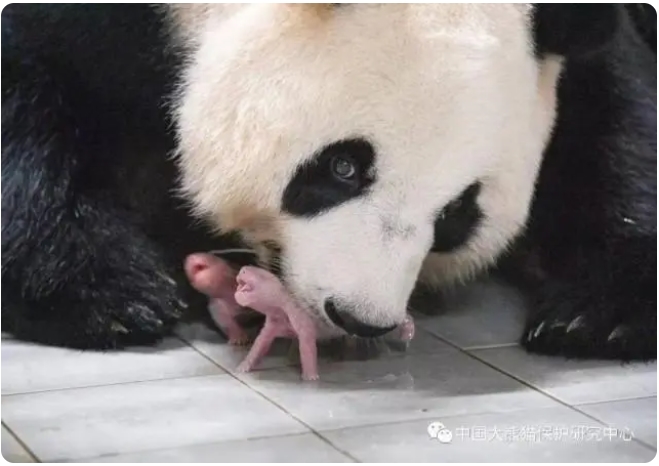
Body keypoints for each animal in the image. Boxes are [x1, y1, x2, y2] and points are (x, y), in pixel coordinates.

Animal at [2, 4, 656, 360]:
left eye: (457, 214)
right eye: (343, 167)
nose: (359, 316)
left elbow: (616, 122)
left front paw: (596, 317)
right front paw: (110, 294)